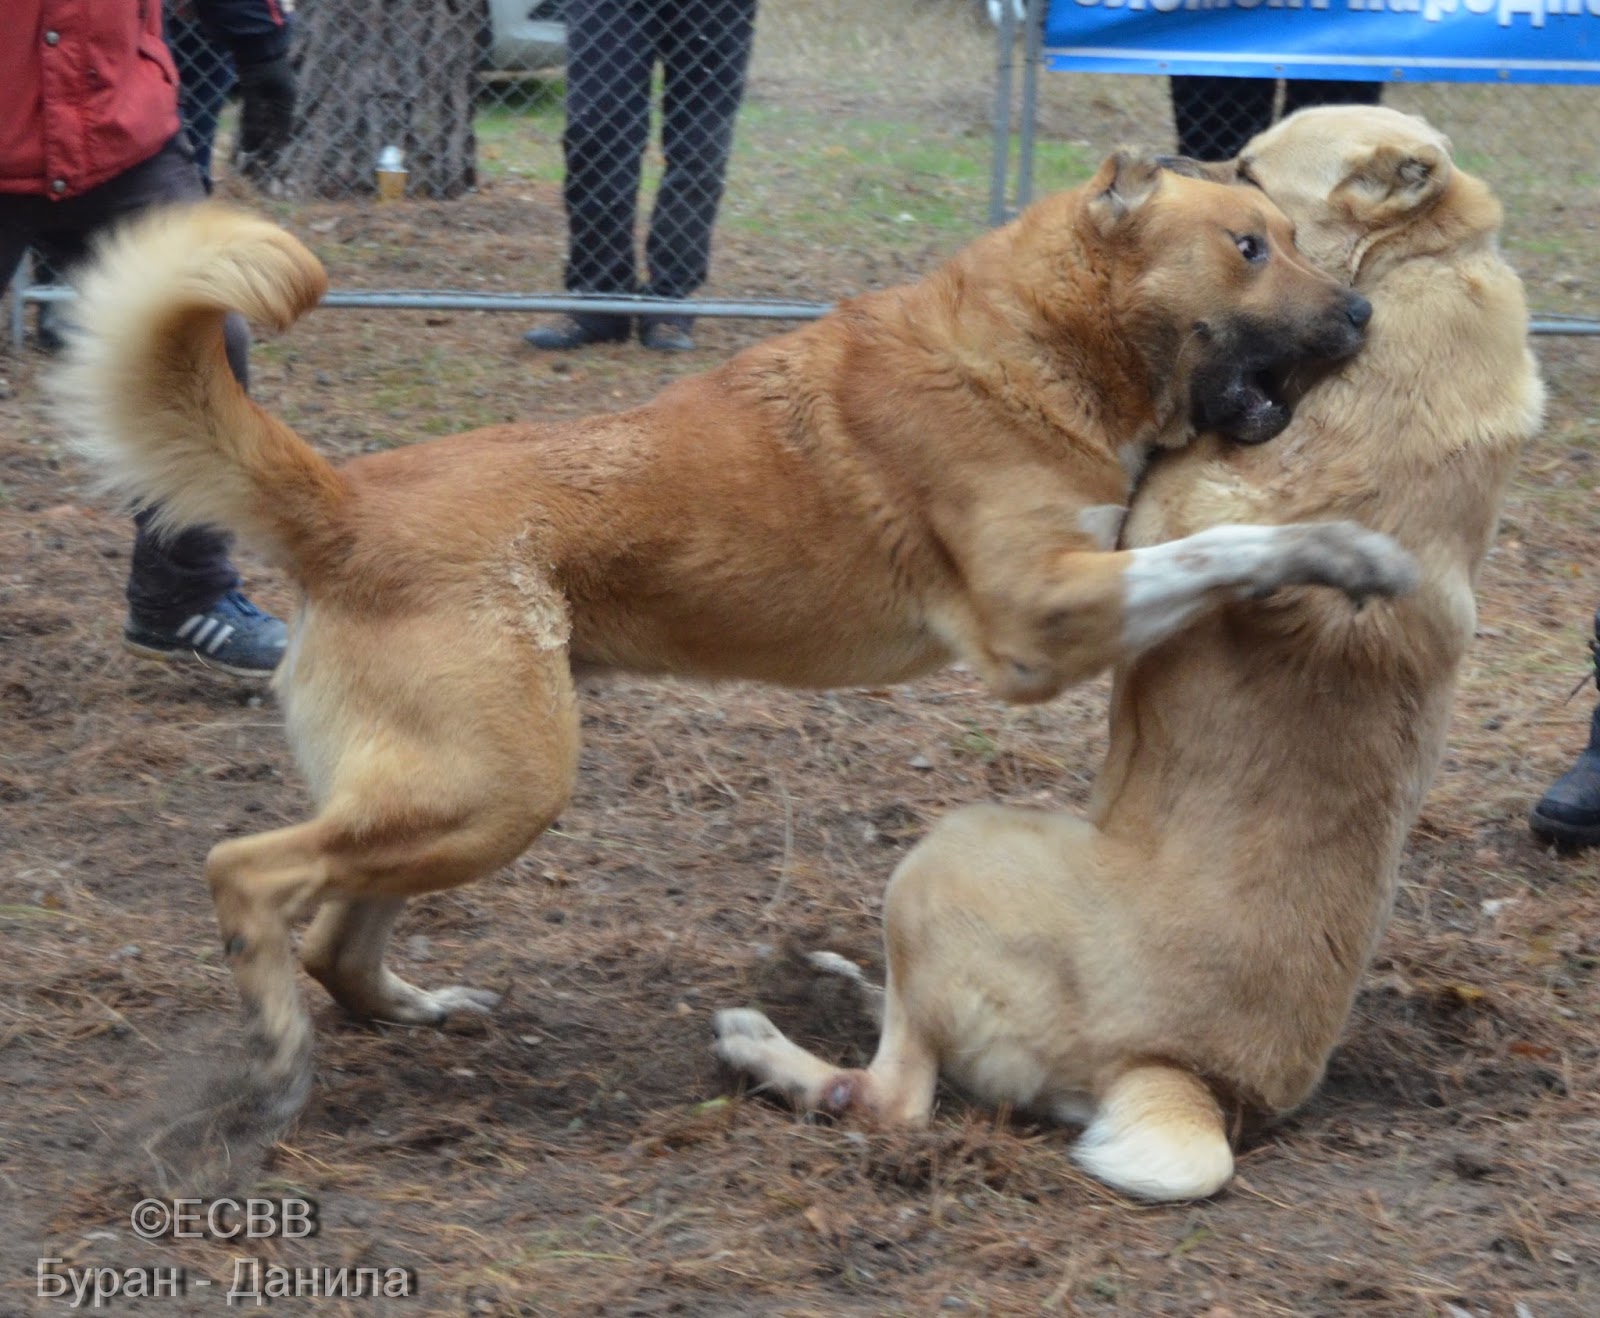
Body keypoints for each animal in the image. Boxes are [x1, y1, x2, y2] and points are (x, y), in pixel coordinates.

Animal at [55, 150, 1408, 1126]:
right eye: (1247, 248)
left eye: (1292, 236)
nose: (1359, 312)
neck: (1037, 343)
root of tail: (344, 501)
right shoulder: (1041, 621)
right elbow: (1220, 548)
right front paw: (1347, 553)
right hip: (497, 787)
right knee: (248, 871)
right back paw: (277, 1055)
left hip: (461, 796)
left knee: (338, 934)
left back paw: (413, 1007)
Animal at [713, 106, 1544, 1201]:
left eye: (1250, 174)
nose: (1166, 155)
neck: (1422, 267)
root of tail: (1186, 1080)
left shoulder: (1153, 526)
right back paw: (849, 986)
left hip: (950, 853)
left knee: (892, 1097)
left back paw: (763, 1045)